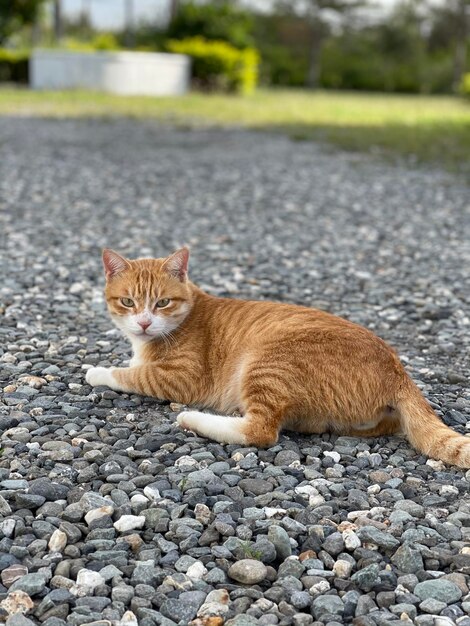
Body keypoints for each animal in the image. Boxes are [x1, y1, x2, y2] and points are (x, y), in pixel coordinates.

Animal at [86, 246, 470, 466]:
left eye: (163, 302)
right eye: (128, 302)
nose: (144, 322)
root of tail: (397, 369)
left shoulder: (180, 377)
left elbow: (133, 374)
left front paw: (98, 371)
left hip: (266, 364)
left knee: (261, 431)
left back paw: (193, 419)